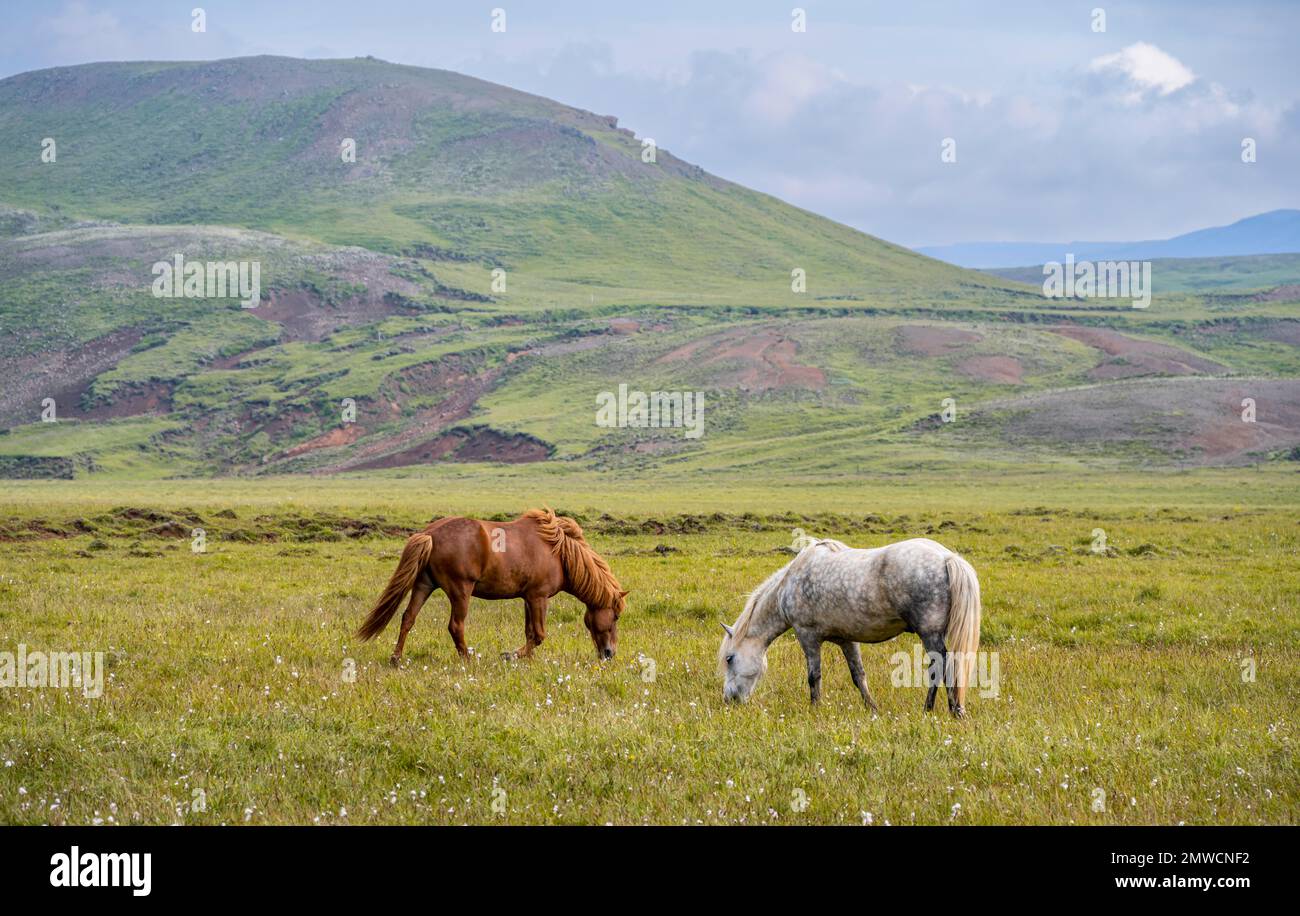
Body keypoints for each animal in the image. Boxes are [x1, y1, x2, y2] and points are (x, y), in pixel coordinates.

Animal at [358, 506, 626, 665]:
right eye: (615, 617)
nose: (609, 654)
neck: (558, 552)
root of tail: (430, 534)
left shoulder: (528, 598)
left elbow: (530, 632)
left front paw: (525, 659)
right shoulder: (538, 597)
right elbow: (539, 635)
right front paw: (511, 655)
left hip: (424, 585)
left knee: (408, 618)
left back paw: (396, 658)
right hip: (460, 591)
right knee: (455, 626)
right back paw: (467, 659)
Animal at [717, 535, 977, 717]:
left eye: (729, 658)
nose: (729, 699)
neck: (789, 584)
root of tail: (946, 557)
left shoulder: (807, 636)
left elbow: (814, 676)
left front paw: (815, 709)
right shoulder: (847, 640)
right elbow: (858, 675)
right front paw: (872, 708)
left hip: (929, 634)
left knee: (940, 666)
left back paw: (936, 709)